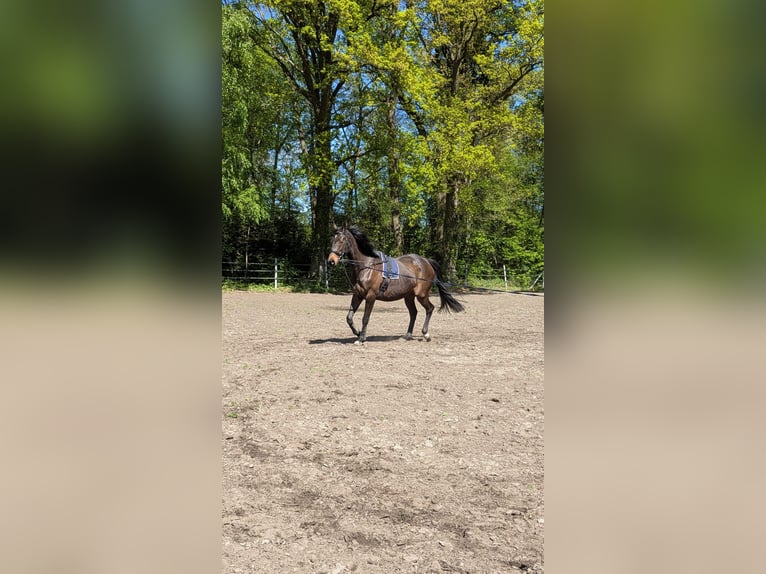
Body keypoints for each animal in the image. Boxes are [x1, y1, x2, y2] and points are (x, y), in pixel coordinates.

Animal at [327, 224, 464, 344]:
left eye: (342, 240)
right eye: (332, 239)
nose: (331, 261)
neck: (366, 266)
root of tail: (426, 261)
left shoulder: (370, 297)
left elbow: (365, 318)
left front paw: (361, 338)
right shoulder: (358, 295)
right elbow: (349, 318)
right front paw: (357, 332)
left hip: (421, 295)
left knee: (429, 308)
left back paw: (426, 334)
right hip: (408, 297)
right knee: (413, 313)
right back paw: (407, 335)